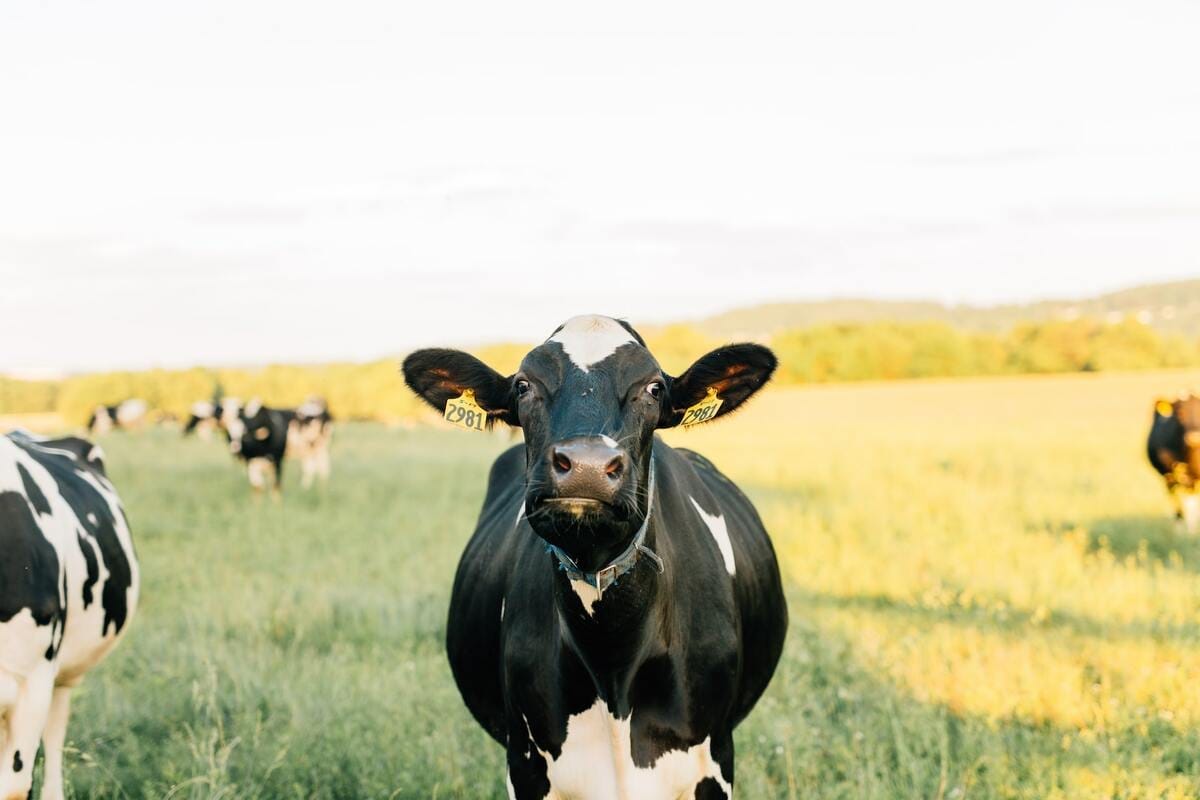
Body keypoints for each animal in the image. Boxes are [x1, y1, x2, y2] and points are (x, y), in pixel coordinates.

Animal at [402, 314, 787, 799]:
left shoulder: (715, 761)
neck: (612, 666)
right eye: (524, 385)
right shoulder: (524, 764)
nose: (586, 465)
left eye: (654, 388)